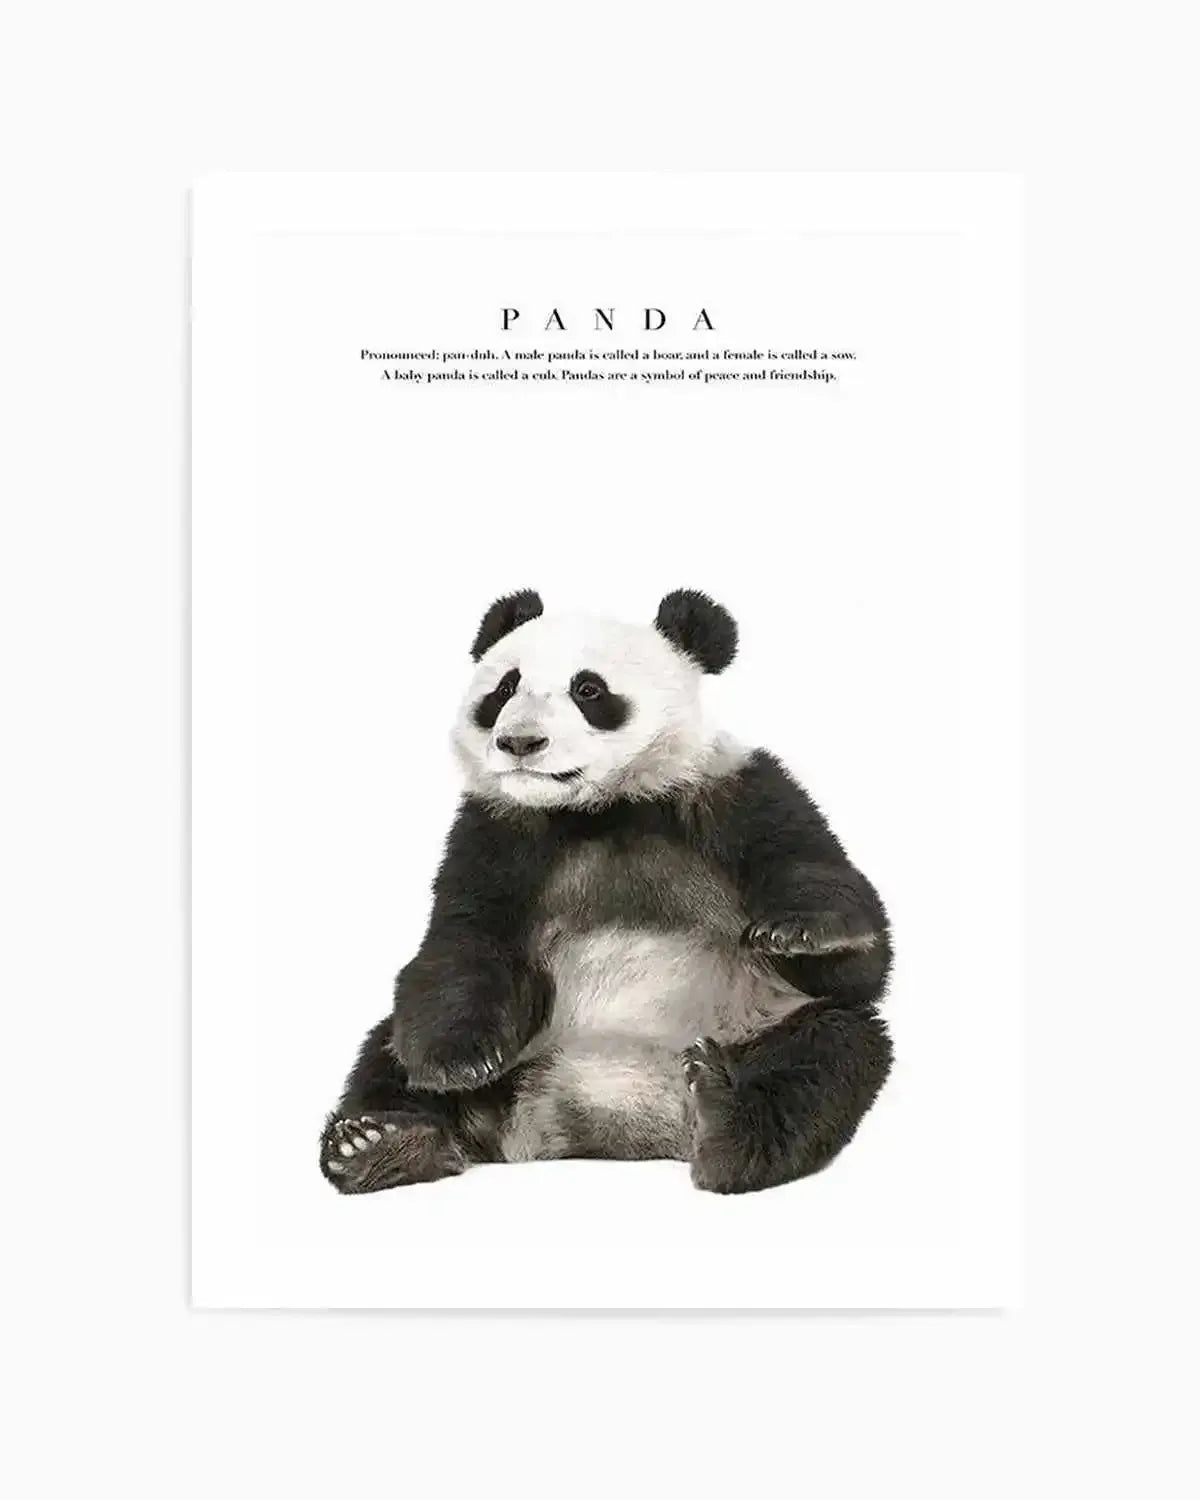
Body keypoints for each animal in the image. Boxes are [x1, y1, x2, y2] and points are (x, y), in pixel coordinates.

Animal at [320, 588, 893, 1195]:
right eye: (505, 689)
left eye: (588, 689)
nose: (519, 742)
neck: (602, 807)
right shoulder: (495, 832)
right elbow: (464, 941)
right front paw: (457, 1063)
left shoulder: (737, 791)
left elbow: (855, 961)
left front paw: (801, 931)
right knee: (385, 1054)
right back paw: (381, 1145)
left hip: (758, 1026)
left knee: (829, 1054)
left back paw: (724, 1124)